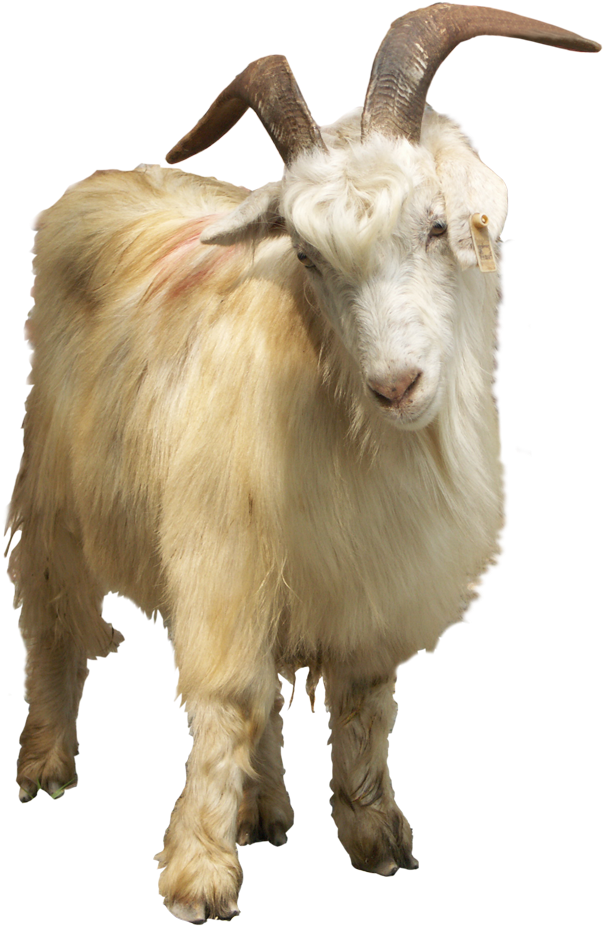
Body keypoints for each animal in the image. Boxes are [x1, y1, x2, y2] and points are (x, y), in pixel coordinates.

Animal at [6, 4, 599, 923]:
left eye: (435, 226)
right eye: (309, 256)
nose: (397, 385)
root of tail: (104, 183)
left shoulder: (360, 581)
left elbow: (359, 709)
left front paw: (376, 838)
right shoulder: (222, 559)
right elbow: (226, 701)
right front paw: (198, 873)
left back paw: (264, 811)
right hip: (55, 491)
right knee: (54, 621)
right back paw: (47, 765)